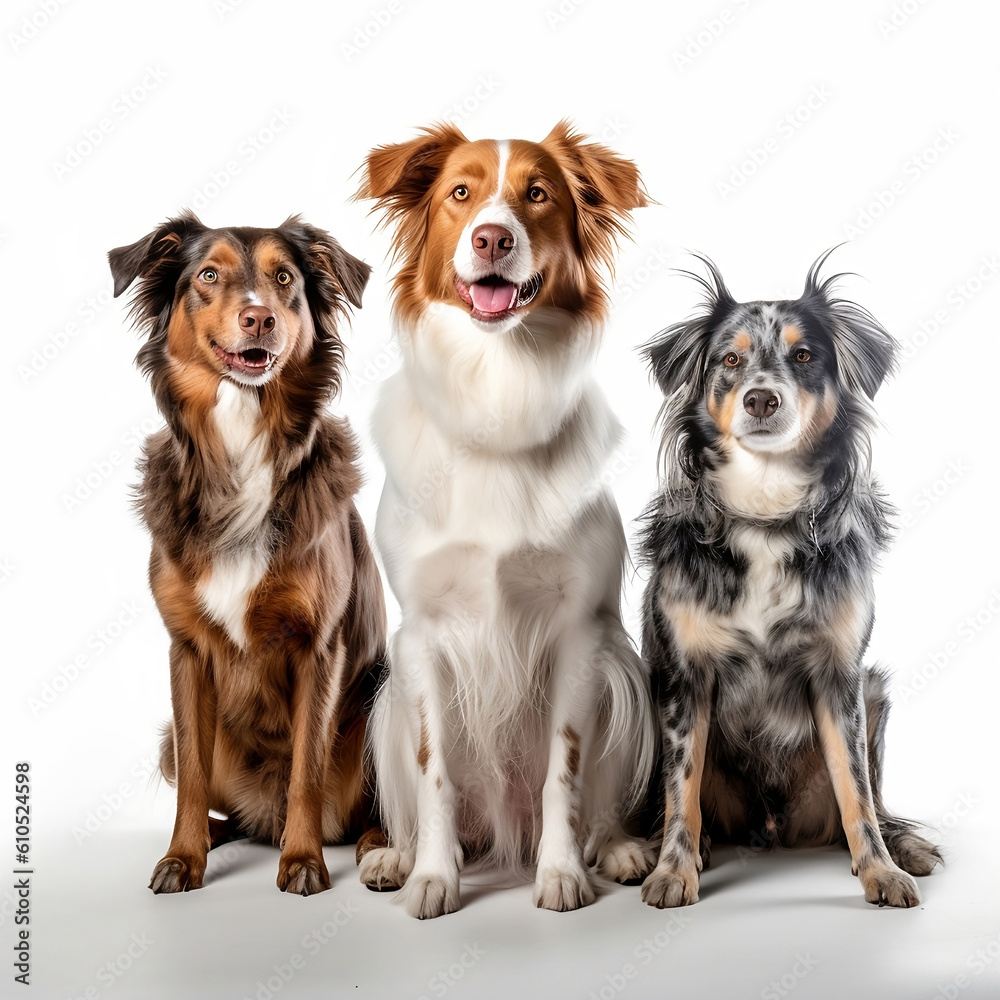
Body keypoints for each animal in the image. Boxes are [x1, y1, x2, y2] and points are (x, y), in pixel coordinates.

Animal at [358, 121, 656, 916]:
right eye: (460, 193)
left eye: (539, 193)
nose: (493, 238)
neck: (498, 391)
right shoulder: (424, 638)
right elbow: (434, 772)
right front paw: (433, 876)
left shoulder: (579, 634)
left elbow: (564, 771)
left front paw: (562, 872)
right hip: (387, 701)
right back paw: (396, 857)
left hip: (624, 675)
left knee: (601, 801)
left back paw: (616, 848)